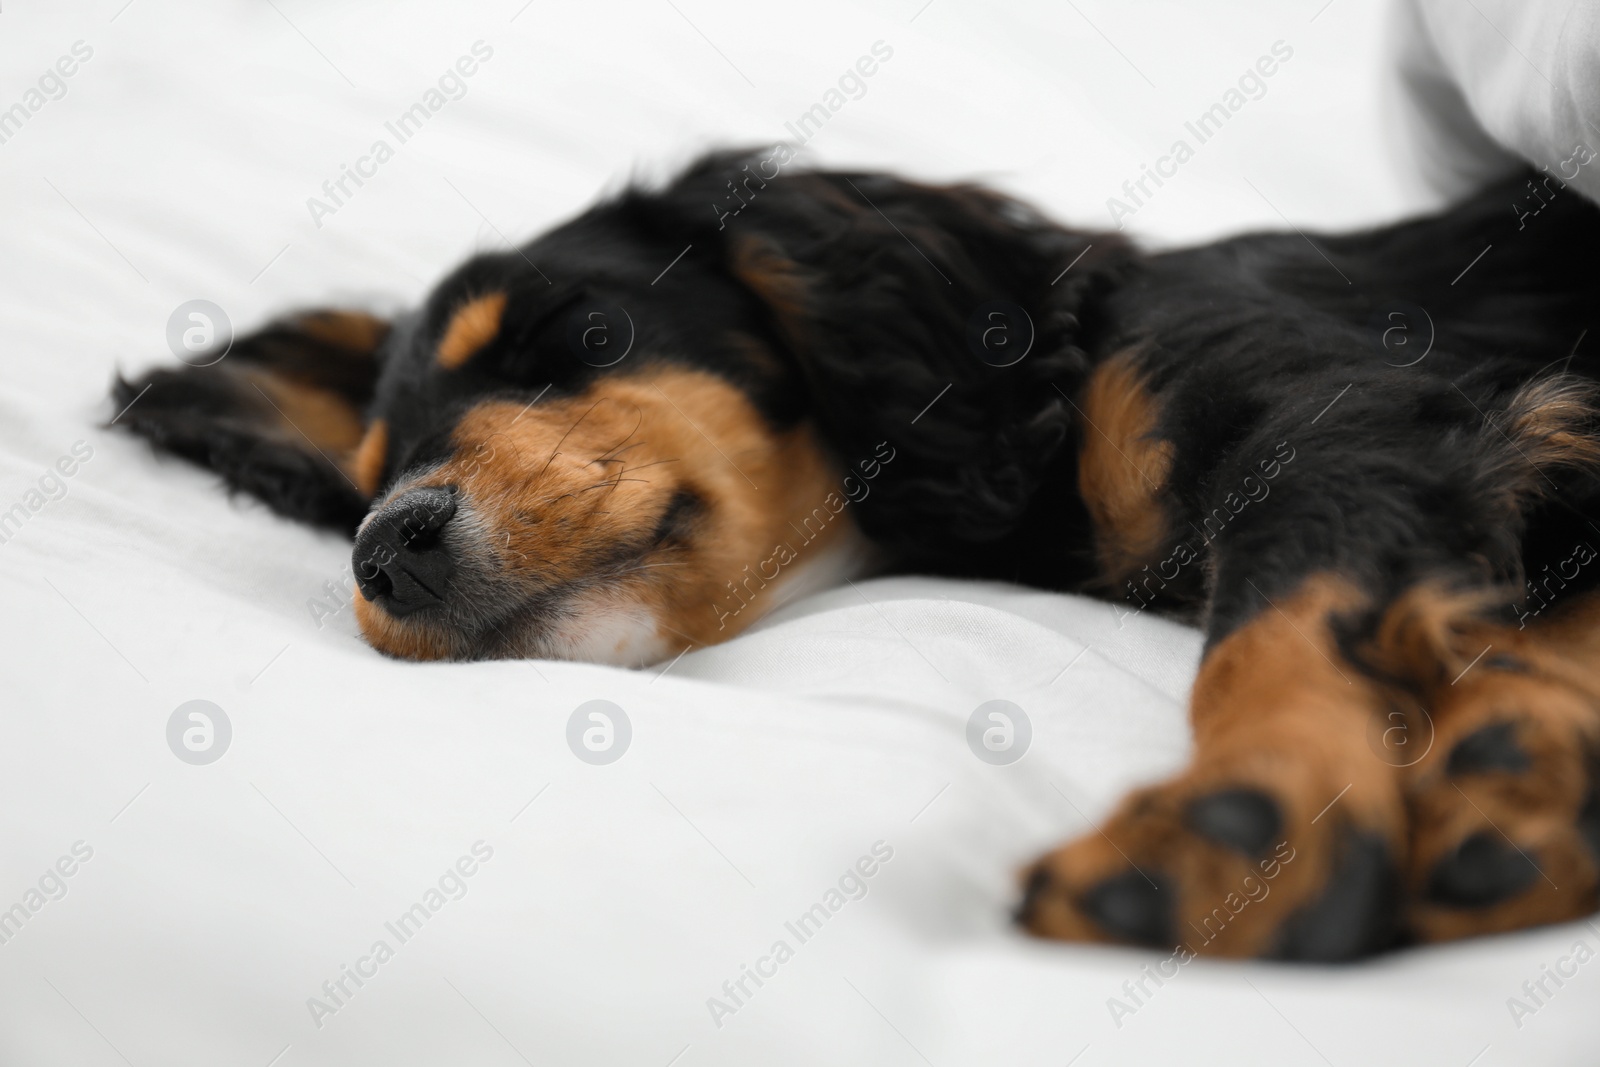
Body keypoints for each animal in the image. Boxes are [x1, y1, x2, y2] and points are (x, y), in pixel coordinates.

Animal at [118, 147, 1600, 959]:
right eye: (364, 480)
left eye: (562, 336)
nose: (389, 547)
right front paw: (1525, 785)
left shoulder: (1355, 422)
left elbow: (1281, 622)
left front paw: (1237, 814)